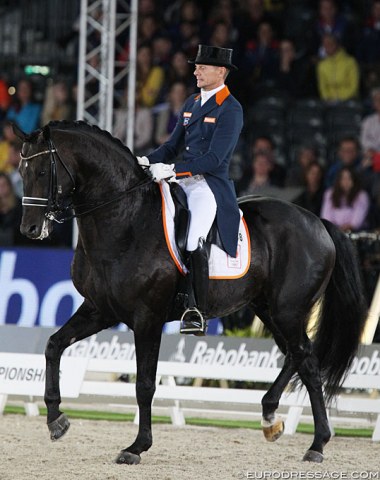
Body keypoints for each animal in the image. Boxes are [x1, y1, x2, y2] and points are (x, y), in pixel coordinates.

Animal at [16, 121, 366, 464]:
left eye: (43, 172)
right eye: (21, 172)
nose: (29, 230)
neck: (124, 219)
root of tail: (317, 221)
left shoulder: (147, 318)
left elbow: (144, 384)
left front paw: (137, 447)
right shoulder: (100, 310)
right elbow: (53, 345)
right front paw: (56, 419)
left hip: (288, 310)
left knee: (307, 360)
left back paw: (317, 444)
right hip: (268, 309)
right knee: (297, 354)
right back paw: (270, 419)